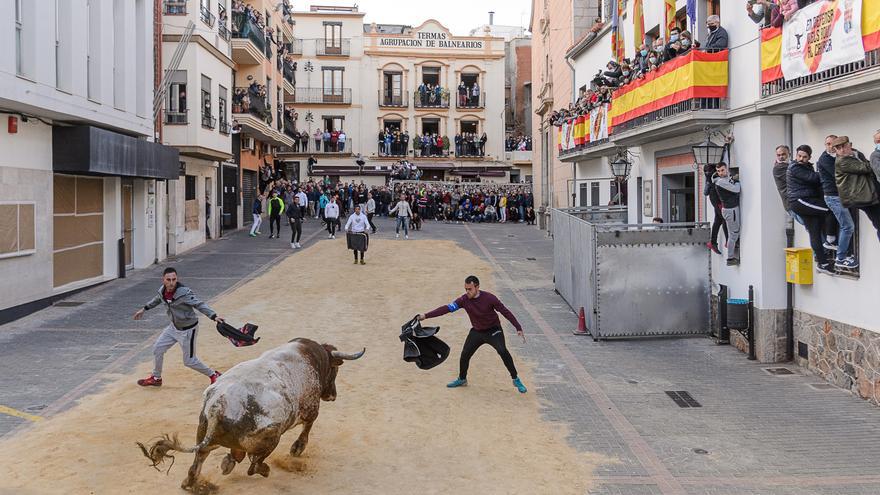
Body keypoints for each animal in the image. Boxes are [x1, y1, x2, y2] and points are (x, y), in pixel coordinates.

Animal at [136, 340, 362, 490]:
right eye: (334, 370)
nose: (332, 395)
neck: (312, 357)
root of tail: (218, 405)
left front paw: (228, 461)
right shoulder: (311, 408)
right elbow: (308, 427)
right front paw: (297, 448)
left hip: (204, 432)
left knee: (199, 460)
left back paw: (192, 482)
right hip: (271, 438)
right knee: (254, 465)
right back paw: (262, 469)